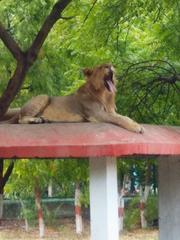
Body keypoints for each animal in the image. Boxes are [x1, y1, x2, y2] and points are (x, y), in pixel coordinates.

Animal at [1, 63, 144, 133]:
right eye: (101, 67)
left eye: (111, 64)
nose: (110, 66)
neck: (103, 95)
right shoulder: (97, 114)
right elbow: (119, 119)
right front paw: (136, 127)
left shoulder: (109, 111)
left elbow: (124, 116)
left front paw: (136, 123)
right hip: (44, 96)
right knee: (20, 119)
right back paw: (36, 120)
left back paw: (43, 119)